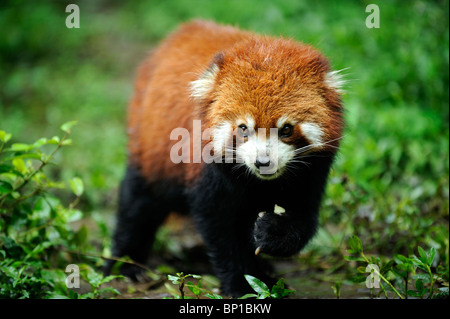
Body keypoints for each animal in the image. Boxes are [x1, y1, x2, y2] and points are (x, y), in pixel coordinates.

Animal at [105, 21, 344, 298]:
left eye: (286, 129)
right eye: (243, 128)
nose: (263, 162)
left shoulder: (311, 172)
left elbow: (303, 218)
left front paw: (271, 233)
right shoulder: (207, 171)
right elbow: (221, 226)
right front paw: (244, 283)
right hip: (152, 146)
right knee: (138, 202)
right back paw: (126, 264)